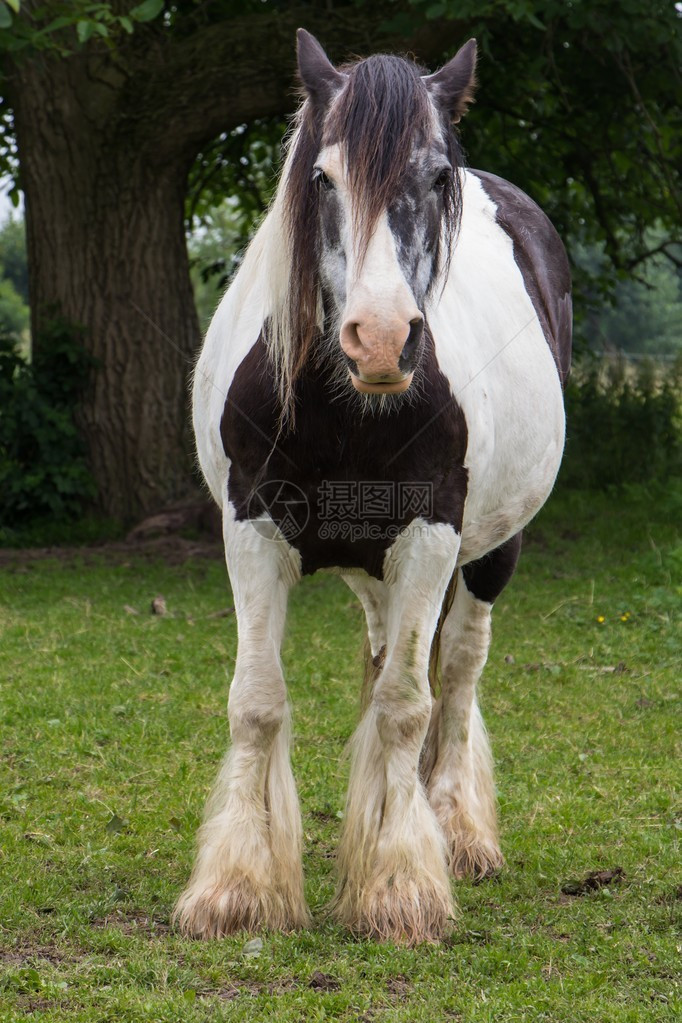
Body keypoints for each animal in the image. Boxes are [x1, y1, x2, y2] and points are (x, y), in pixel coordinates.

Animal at [174, 28, 572, 945]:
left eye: (436, 178)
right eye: (322, 178)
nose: (382, 339)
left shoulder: (430, 536)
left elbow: (405, 705)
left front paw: (399, 885)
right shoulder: (250, 529)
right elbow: (258, 701)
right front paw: (238, 886)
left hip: (491, 550)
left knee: (456, 671)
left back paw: (456, 829)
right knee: (391, 652)